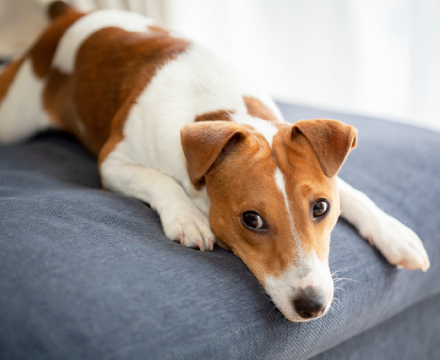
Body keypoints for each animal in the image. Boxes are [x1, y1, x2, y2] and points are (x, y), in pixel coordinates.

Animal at [0, 1, 430, 322]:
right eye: (251, 220)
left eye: (321, 208)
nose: (313, 305)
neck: (221, 112)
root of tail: (71, 15)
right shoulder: (113, 163)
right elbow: (162, 181)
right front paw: (188, 219)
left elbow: (355, 193)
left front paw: (394, 232)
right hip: (13, 113)